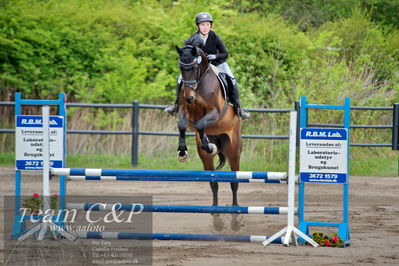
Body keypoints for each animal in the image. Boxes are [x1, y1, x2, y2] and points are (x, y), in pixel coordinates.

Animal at [176, 43, 244, 231]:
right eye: (181, 68)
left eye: (194, 67)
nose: (189, 97)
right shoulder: (186, 111)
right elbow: (183, 125)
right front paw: (182, 151)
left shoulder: (215, 113)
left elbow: (200, 125)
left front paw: (208, 145)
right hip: (206, 159)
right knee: (213, 182)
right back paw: (217, 220)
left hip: (233, 149)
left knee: (234, 182)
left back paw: (235, 218)